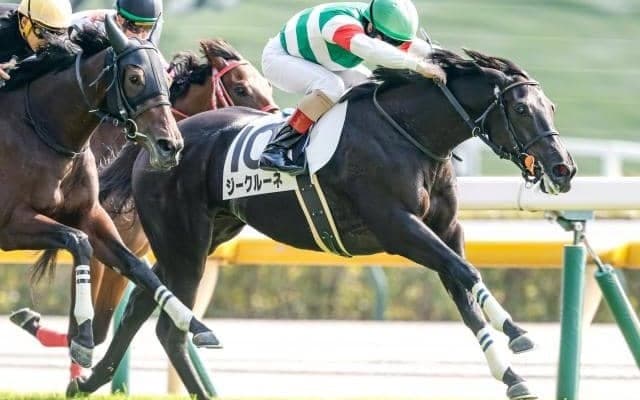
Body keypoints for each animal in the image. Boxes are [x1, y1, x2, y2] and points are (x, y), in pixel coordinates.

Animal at [9, 38, 278, 378]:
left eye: (267, 85)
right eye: (241, 88)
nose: (277, 123)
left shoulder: (126, 250)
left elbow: (101, 327)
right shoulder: (92, 246)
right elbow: (82, 327)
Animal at [68, 48, 576, 399]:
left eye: (551, 106)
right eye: (521, 109)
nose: (563, 168)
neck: (410, 135)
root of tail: (161, 142)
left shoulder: (446, 230)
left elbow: (464, 289)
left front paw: (511, 374)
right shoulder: (397, 226)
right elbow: (467, 273)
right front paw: (517, 332)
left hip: (207, 235)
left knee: (142, 305)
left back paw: (89, 380)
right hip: (185, 242)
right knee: (168, 327)